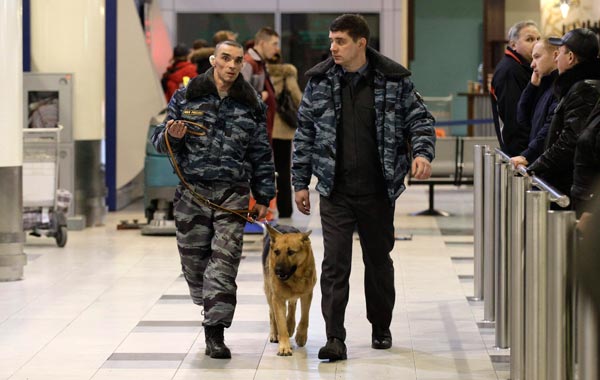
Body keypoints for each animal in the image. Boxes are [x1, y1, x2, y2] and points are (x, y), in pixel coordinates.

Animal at [264, 223, 318, 356]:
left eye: (291, 252)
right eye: (277, 252)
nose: (277, 270)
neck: (294, 277)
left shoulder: (307, 295)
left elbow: (304, 317)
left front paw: (301, 336)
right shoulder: (277, 299)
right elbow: (281, 324)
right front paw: (284, 346)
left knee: (292, 305)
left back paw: (291, 325)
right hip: (269, 293)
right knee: (272, 313)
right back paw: (274, 334)